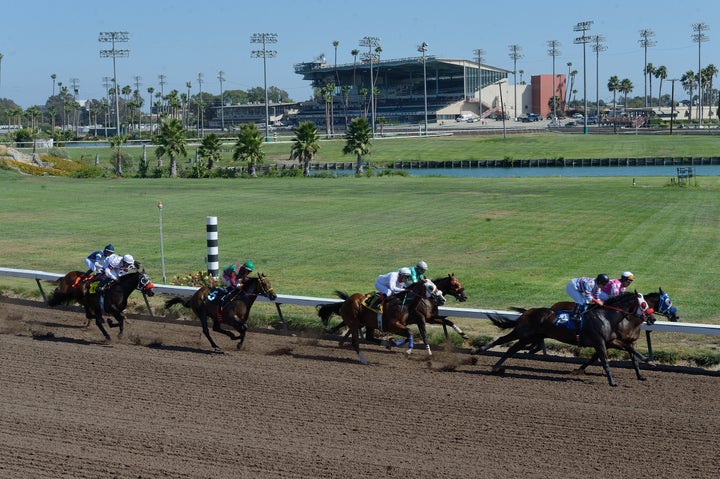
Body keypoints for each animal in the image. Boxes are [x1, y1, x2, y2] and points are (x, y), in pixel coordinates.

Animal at [476, 290, 656, 388]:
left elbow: (630, 349)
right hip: (523, 332)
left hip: (531, 336)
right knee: (502, 339)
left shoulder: (610, 341)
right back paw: (478, 351)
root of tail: (527, 311)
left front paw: (649, 361)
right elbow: (605, 361)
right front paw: (612, 382)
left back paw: (496, 366)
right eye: (644, 304)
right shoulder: (599, 342)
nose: (653, 318)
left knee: (512, 349)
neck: (606, 316)